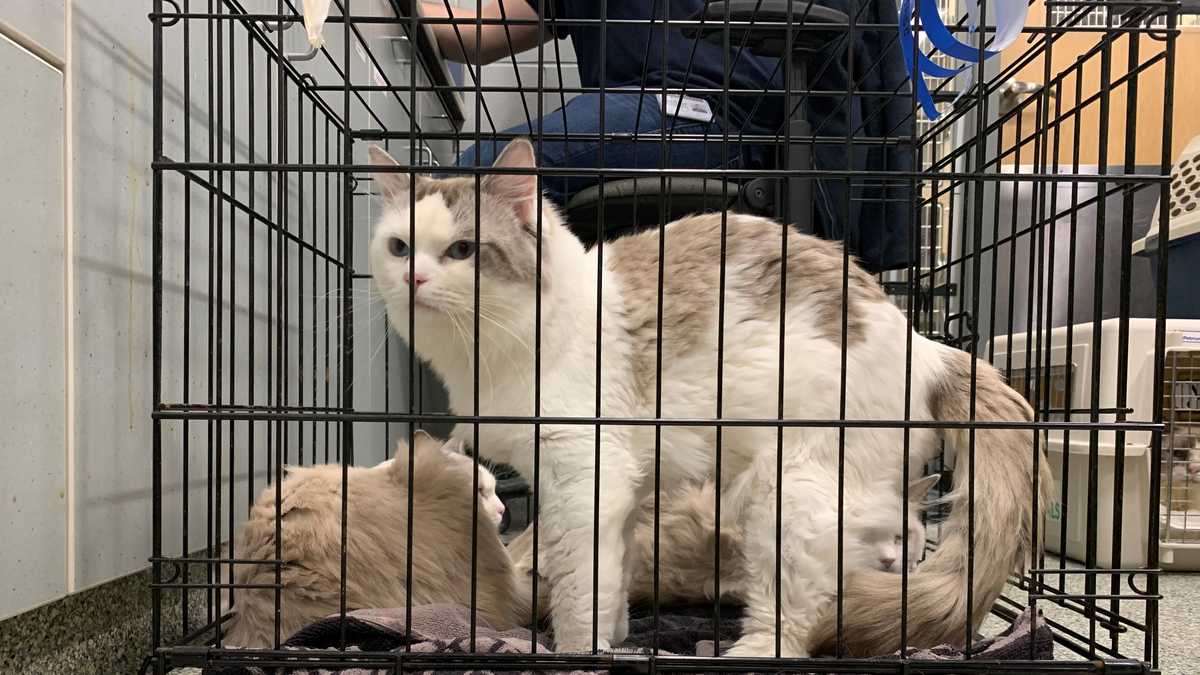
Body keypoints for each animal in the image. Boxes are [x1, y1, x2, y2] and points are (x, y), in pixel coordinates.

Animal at [364, 139, 1051, 653]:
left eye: (462, 250)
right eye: (399, 247)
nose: (414, 277)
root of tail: (926, 344)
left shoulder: (583, 479)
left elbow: (579, 592)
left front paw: (580, 652)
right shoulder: (621, 491)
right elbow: (612, 580)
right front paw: (621, 640)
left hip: (790, 497)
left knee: (792, 624)